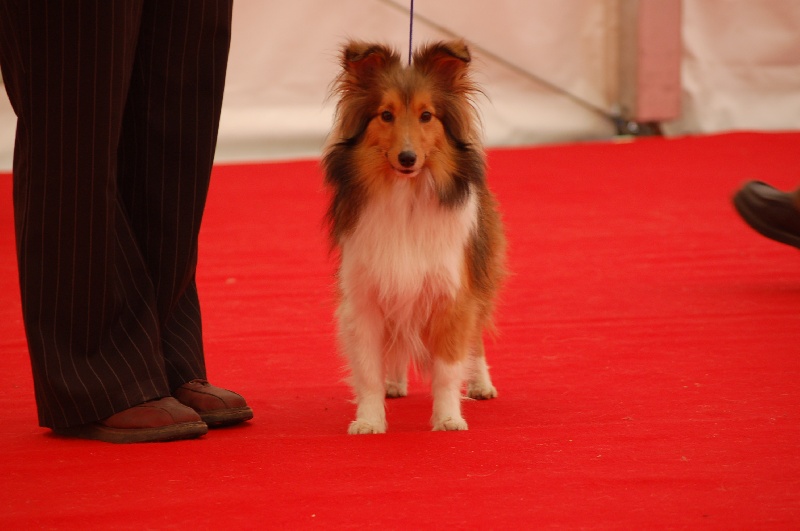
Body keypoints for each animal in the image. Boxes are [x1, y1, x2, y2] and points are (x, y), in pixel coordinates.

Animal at [322, 40, 504, 432]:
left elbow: (448, 368)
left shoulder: (452, 292)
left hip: (481, 272)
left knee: (476, 339)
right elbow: (369, 370)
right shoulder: (366, 295)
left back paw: (481, 383)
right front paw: (369, 420)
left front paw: (448, 418)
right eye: (385, 115)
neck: (405, 195)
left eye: (427, 116)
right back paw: (394, 381)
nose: (407, 158)